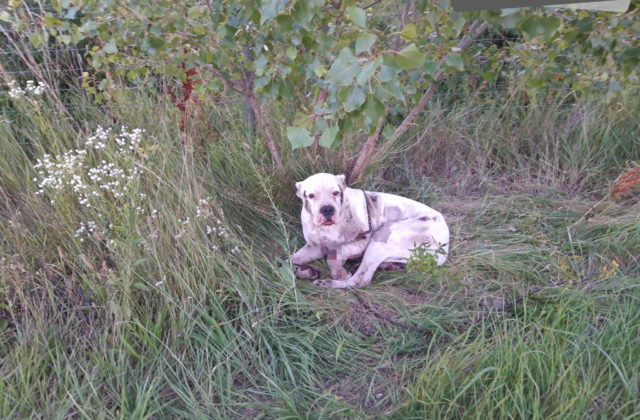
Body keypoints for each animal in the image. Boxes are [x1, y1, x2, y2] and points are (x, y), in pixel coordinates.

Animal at [292, 174, 450, 288]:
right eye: (311, 195)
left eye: (336, 193)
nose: (327, 209)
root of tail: (446, 242)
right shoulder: (315, 247)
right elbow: (289, 260)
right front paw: (305, 271)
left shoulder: (362, 240)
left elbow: (336, 254)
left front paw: (340, 273)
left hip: (383, 234)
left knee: (360, 279)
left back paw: (329, 283)